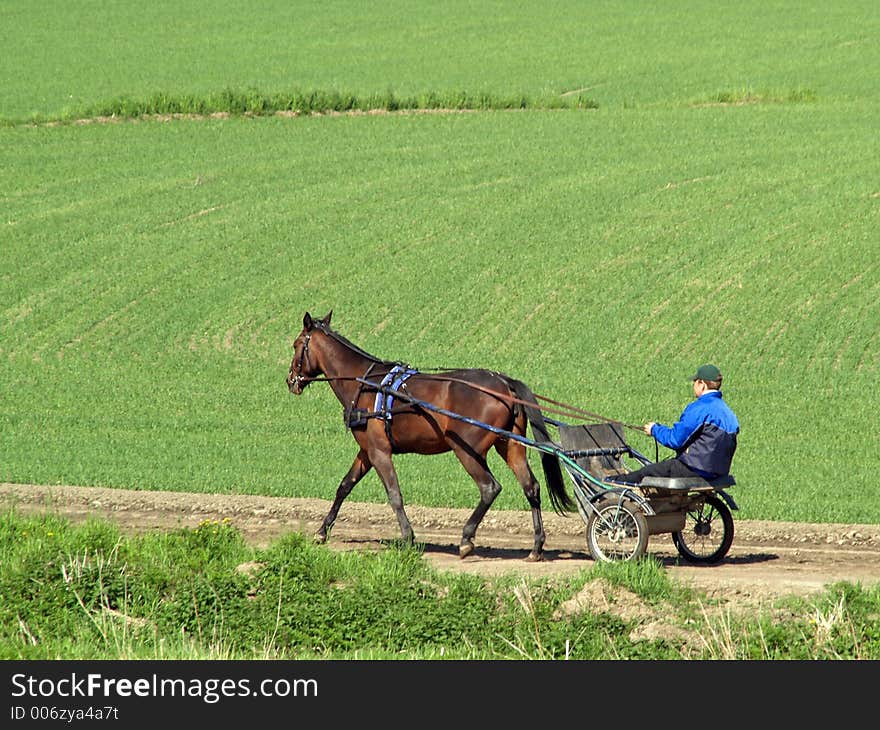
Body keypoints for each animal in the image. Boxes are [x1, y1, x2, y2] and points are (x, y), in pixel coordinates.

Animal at [286, 310, 576, 560]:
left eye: (296, 344)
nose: (290, 381)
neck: (367, 384)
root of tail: (504, 382)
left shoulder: (380, 451)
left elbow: (394, 494)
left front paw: (408, 537)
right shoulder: (367, 450)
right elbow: (345, 486)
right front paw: (322, 531)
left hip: (467, 450)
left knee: (489, 488)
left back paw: (466, 539)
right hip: (510, 446)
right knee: (531, 487)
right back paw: (536, 546)